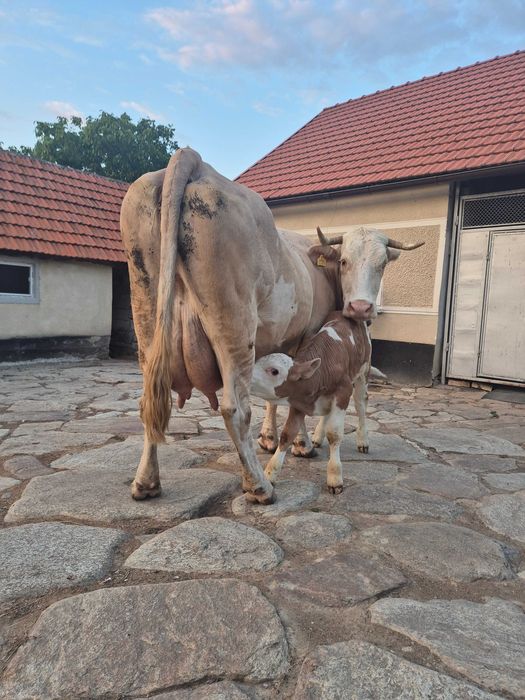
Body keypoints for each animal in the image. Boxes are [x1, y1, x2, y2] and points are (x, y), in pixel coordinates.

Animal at [251, 312, 372, 493]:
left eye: (274, 371)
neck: (321, 373)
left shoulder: (342, 393)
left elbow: (334, 434)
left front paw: (335, 477)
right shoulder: (299, 401)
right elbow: (287, 434)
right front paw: (269, 475)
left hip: (363, 372)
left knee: (360, 404)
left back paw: (363, 440)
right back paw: (317, 437)